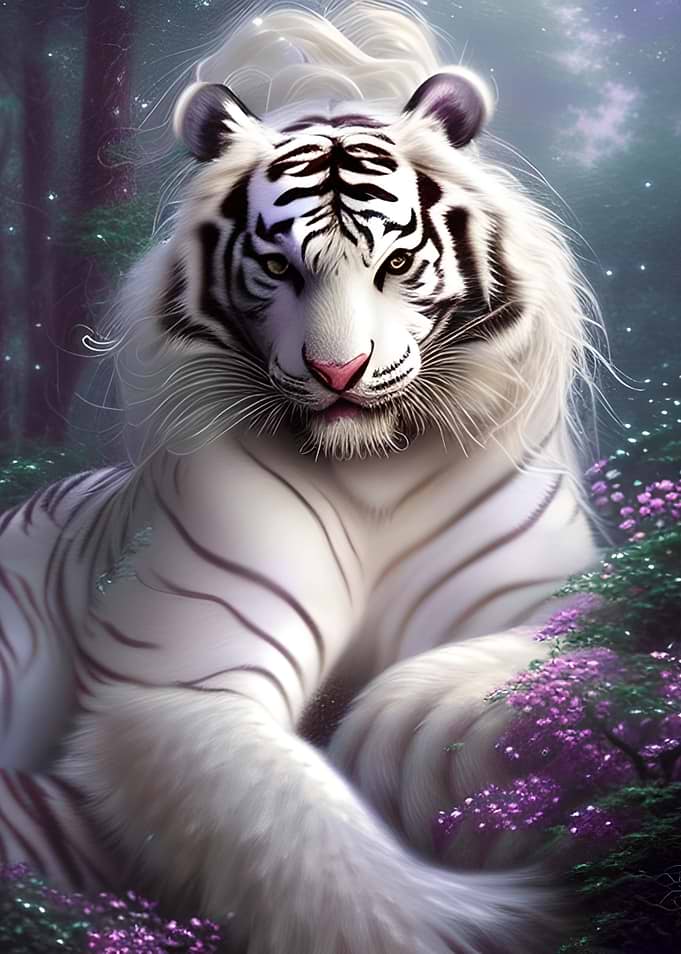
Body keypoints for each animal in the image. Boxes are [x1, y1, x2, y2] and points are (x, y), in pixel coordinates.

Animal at [0, 3, 605, 952]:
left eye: (395, 264)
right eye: (279, 265)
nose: (338, 371)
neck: (374, 471)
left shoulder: (547, 599)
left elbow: (553, 652)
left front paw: (410, 730)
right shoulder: (179, 683)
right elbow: (317, 857)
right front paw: (502, 916)